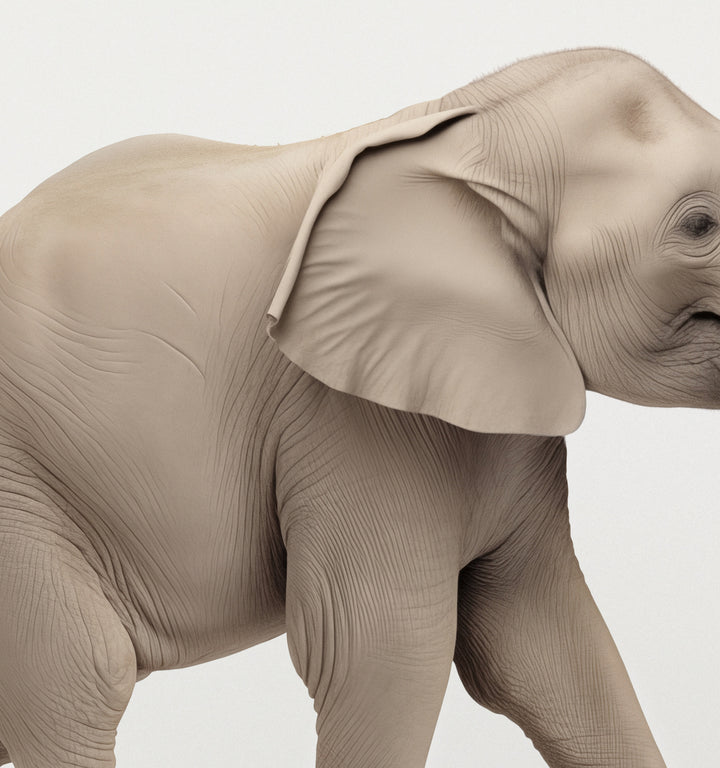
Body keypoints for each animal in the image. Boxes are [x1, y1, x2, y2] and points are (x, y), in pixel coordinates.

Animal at [0, 45, 716, 767]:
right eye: (700, 225)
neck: (459, 123)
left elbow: (544, 647)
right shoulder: (348, 419)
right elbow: (379, 648)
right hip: (23, 490)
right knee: (84, 676)